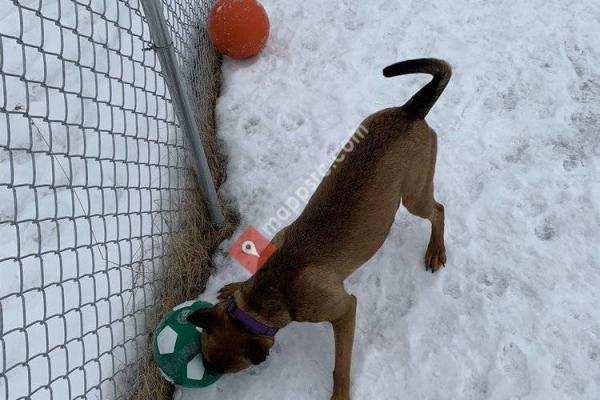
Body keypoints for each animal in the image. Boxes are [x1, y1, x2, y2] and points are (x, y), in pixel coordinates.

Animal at [188, 57, 450, 398]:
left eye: (220, 369)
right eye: (205, 357)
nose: (202, 372)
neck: (270, 289)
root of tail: (411, 111)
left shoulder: (344, 310)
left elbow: (341, 365)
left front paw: (340, 393)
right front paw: (234, 285)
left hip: (414, 195)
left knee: (438, 210)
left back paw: (435, 250)